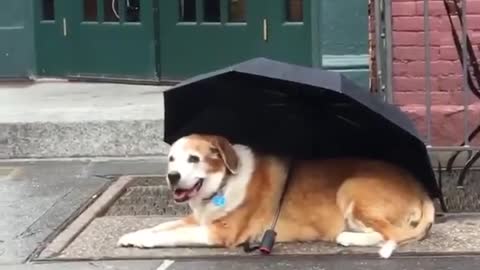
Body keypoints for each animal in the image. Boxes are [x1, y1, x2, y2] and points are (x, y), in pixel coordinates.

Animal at [117, 134, 436, 258]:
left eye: (194, 159)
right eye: (171, 159)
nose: (172, 177)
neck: (223, 183)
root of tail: (421, 190)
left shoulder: (218, 233)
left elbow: (170, 234)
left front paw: (145, 241)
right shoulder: (199, 219)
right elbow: (163, 225)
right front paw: (133, 235)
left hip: (351, 188)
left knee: (390, 234)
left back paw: (347, 237)